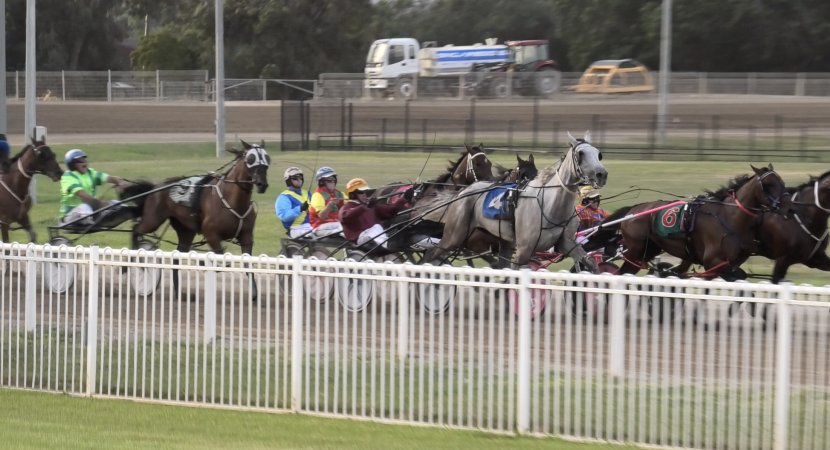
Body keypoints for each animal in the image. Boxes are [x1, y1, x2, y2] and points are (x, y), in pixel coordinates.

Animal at [420, 132, 608, 268]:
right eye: (581, 153)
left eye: (598, 154)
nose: (602, 174)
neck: (550, 205)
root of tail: (462, 192)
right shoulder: (524, 250)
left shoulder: (568, 243)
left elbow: (592, 264)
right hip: (454, 235)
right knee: (430, 255)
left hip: (500, 242)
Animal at [600, 163, 788, 280]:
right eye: (768, 184)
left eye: (781, 182)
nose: (788, 206)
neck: (728, 216)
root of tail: (633, 210)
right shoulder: (713, 262)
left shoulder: (728, 263)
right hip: (636, 249)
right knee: (620, 273)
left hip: (648, 250)